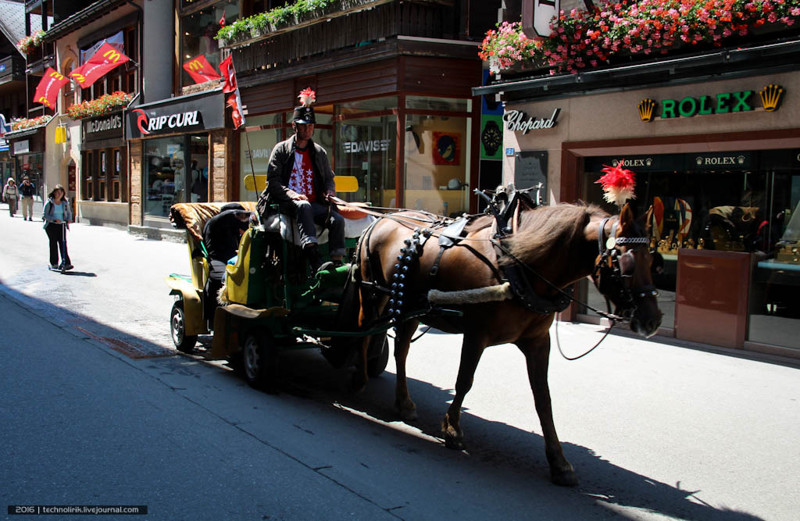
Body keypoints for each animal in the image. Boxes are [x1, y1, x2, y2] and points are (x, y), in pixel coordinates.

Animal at [354, 201, 660, 486]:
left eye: (653, 260)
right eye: (626, 262)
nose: (653, 320)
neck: (521, 268)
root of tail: (382, 220)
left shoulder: (538, 342)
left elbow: (543, 398)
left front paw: (558, 461)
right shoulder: (476, 334)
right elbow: (464, 381)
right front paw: (452, 428)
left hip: (409, 308)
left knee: (401, 350)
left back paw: (403, 402)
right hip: (373, 294)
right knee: (363, 331)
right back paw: (358, 378)